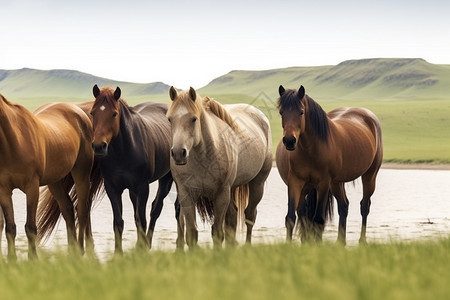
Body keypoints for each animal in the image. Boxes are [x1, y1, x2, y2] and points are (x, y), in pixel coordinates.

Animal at [0, 94, 102, 260]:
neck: (14, 141)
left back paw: (80, 250)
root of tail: (80, 112)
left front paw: (33, 259)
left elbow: (30, 226)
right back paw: (71, 251)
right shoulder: (4, 190)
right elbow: (10, 228)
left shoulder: (32, 187)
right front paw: (12, 260)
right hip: (55, 182)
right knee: (67, 209)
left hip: (81, 173)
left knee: (82, 209)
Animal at [89, 85, 178, 254]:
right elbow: (119, 222)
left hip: (168, 179)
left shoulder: (142, 187)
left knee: (161, 209)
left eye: (114, 114)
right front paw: (118, 253)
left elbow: (142, 219)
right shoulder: (112, 188)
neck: (124, 151)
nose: (98, 146)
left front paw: (140, 250)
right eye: (92, 113)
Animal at [165, 86, 270, 248]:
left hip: (257, 184)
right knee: (233, 216)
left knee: (250, 216)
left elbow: (217, 232)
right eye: (170, 119)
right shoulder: (186, 193)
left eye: (193, 119)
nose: (178, 153)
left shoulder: (221, 194)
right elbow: (192, 233)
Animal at [274, 84, 384, 244]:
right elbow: (290, 218)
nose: (289, 141)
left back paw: (362, 241)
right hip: (336, 183)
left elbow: (318, 219)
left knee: (364, 206)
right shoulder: (295, 182)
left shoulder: (323, 183)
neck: (310, 149)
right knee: (343, 206)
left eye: (301, 112)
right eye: (281, 112)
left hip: (369, 176)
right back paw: (340, 242)